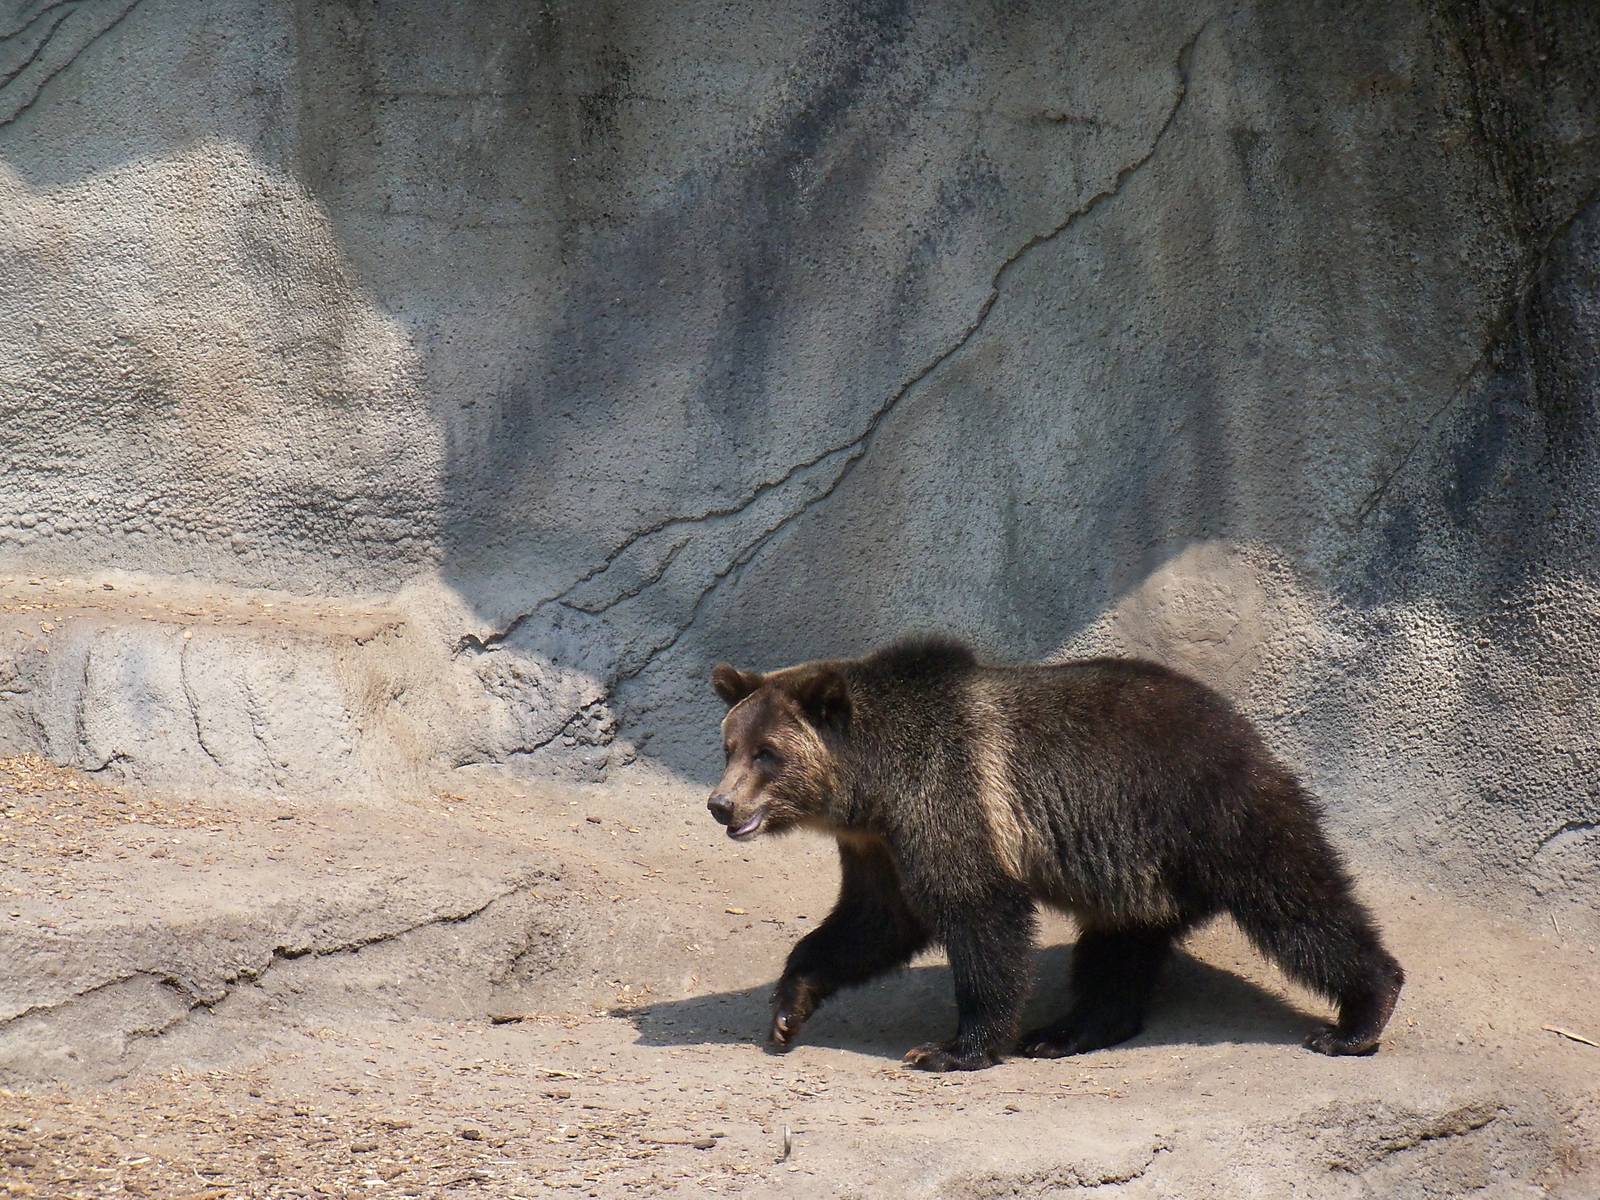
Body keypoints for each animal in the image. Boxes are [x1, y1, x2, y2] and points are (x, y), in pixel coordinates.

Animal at [705, 636, 1404, 1072]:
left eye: (768, 752)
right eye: (730, 745)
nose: (721, 804)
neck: (872, 788)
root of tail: (1244, 727)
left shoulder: (950, 799)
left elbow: (980, 917)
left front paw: (952, 1048)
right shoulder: (879, 846)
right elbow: (870, 923)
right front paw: (788, 1011)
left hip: (1210, 813)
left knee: (1297, 905)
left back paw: (1357, 1017)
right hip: (1136, 874)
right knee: (1116, 950)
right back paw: (1067, 1030)